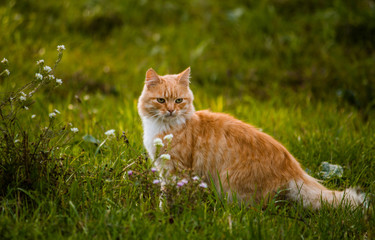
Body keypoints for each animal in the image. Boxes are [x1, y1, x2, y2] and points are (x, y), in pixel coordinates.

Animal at [137, 67, 364, 208]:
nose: (171, 111)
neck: (163, 128)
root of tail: (294, 168)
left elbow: (169, 196)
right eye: (161, 100)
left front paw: (166, 212)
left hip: (230, 185)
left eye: (179, 100)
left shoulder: (176, 170)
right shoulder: (165, 170)